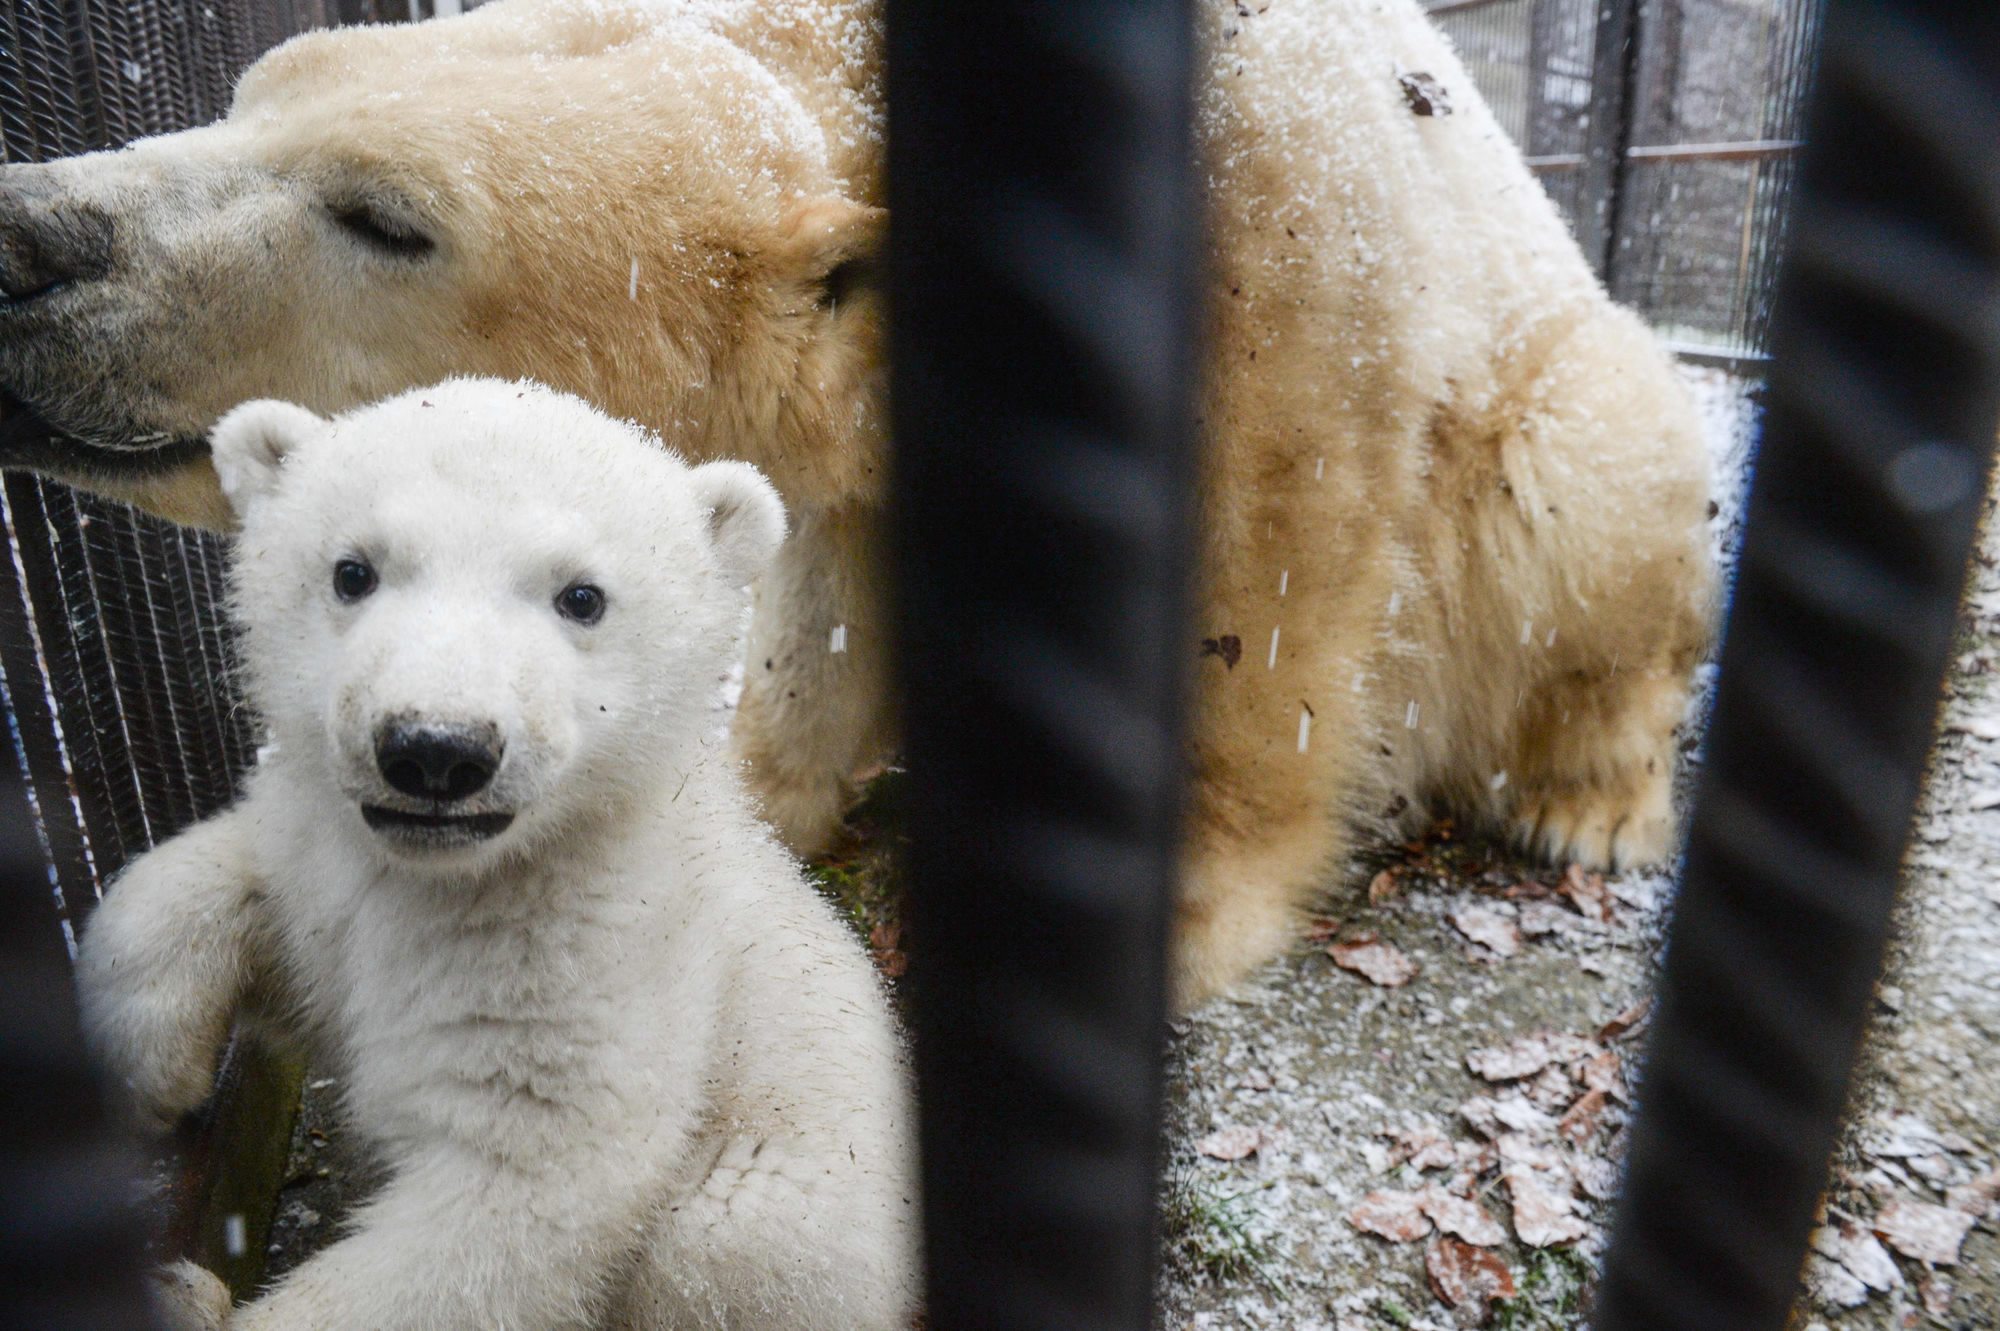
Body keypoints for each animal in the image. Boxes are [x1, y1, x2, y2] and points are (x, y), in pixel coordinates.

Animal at [0, 0, 1712, 995]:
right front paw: (761, 796)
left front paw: (1182, 903)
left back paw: (1589, 797)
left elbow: (1277, 568)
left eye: (385, 214)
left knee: (1590, 484)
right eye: (251, 89)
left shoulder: (1291, 251)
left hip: (1564, 411)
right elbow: (831, 575)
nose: (31, 238)